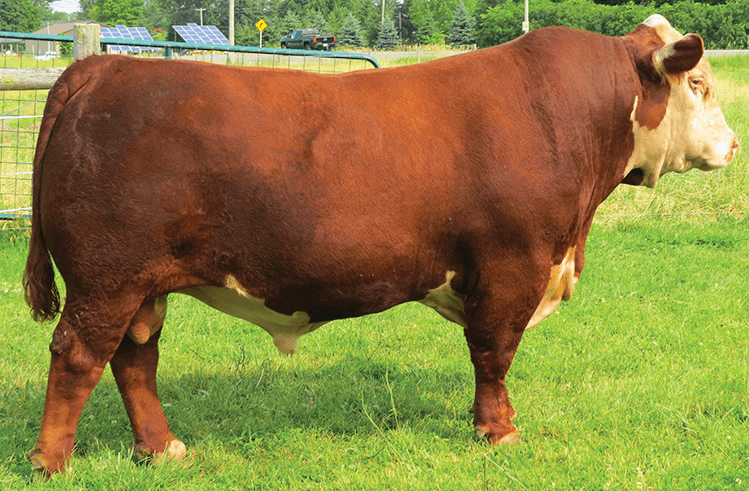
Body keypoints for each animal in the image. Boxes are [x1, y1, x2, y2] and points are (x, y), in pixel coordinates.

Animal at [23, 15, 738, 474]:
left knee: (134, 358)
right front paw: (500, 433)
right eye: (698, 83)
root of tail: (101, 67)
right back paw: (51, 464)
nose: (733, 145)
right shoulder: (513, 263)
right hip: (105, 277)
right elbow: (494, 353)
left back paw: (162, 449)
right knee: (79, 356)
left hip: (139, 283)